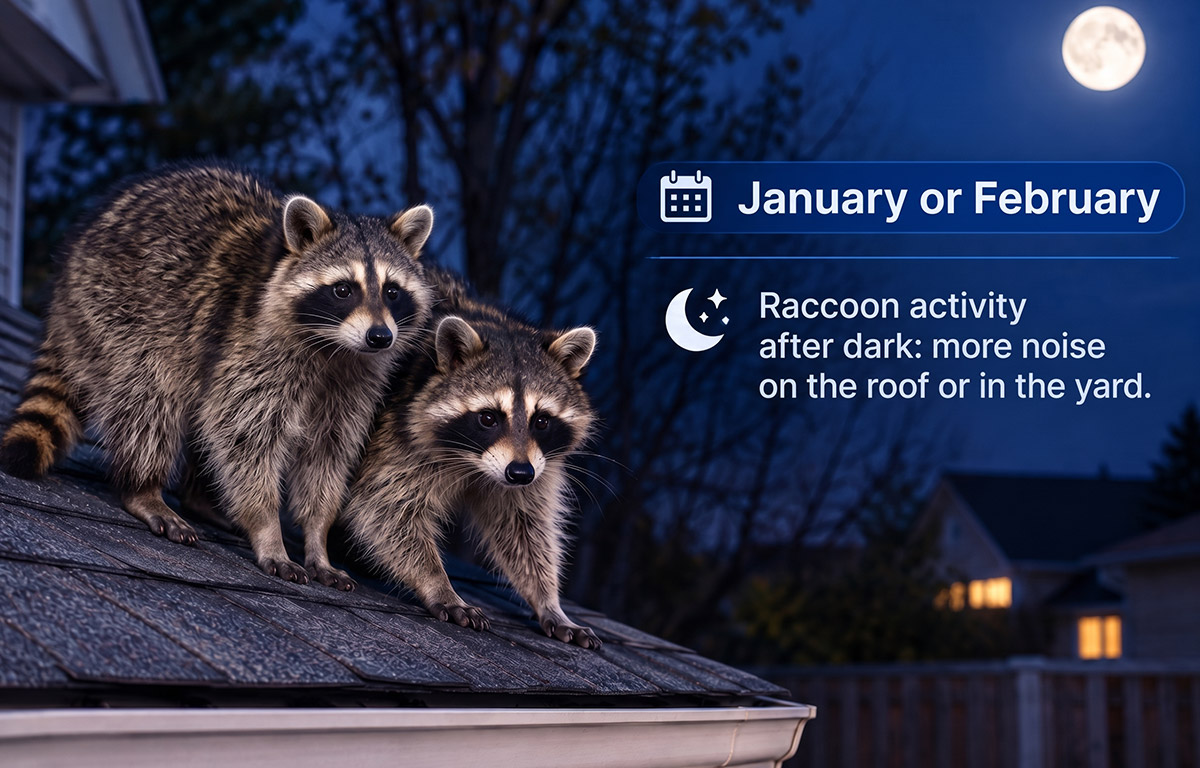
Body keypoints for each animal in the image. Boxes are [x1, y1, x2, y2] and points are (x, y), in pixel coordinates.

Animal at [0, 163, 433, 588]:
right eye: (343, 289)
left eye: (392, 291)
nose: (380, 337)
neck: (335, 348)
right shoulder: (253, 349)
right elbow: (245, 437)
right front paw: (267, 529)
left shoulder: (353, 383)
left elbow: (325, 455)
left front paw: (317, 539)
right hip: (116, 306)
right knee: (150, 394)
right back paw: (144, 487)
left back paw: (198, 497)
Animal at [344, 268, 601, 647]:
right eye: (489, 418)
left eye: (541, 421)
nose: (520, 473)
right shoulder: (399, 426)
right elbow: (385, 507)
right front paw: (438, 584)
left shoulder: (538, 464)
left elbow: (524, 527)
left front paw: (548, 600)